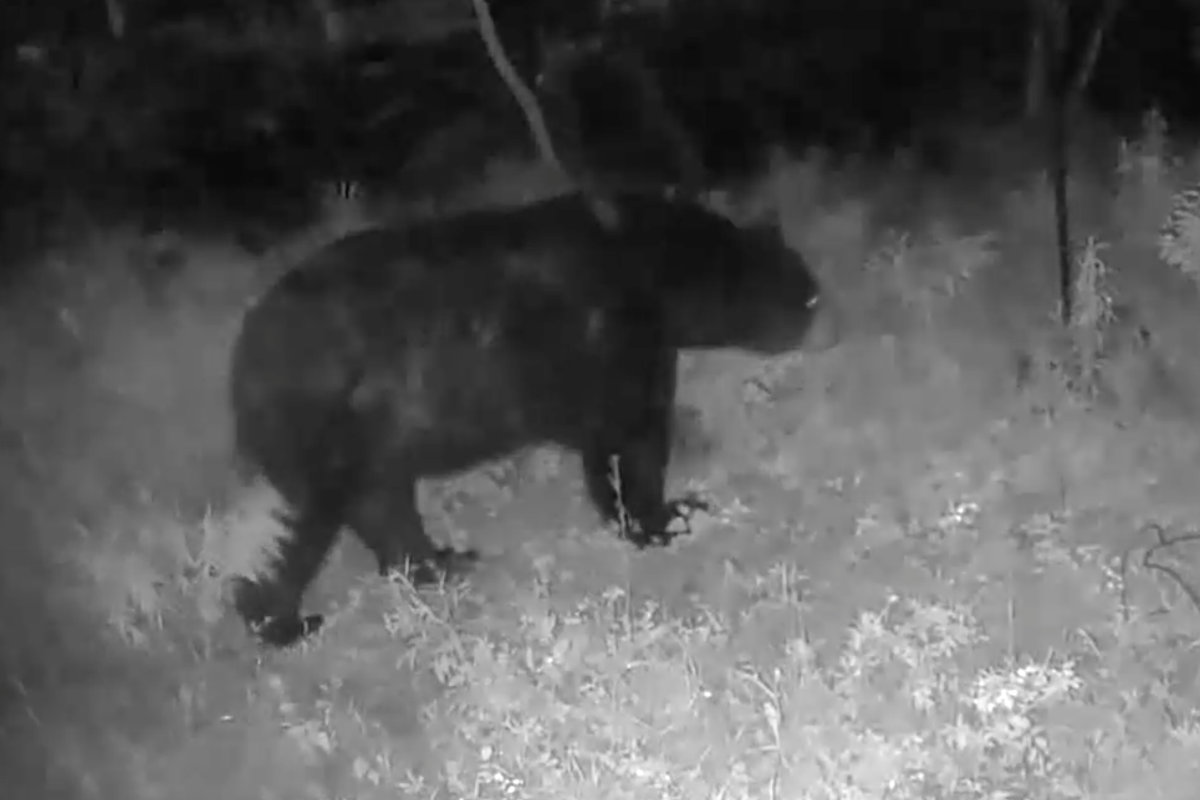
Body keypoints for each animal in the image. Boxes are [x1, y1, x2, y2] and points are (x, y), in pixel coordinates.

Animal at [229, 190, 835, 647]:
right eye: (802, 292)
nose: (818, 307)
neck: (659, 268)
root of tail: (242, 367)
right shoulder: (614, 339)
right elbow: (632, 436)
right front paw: (666, 516)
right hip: (331, 428)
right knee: (322, 522)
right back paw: (284, 617)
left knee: (384, 506)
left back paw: (443, 561)